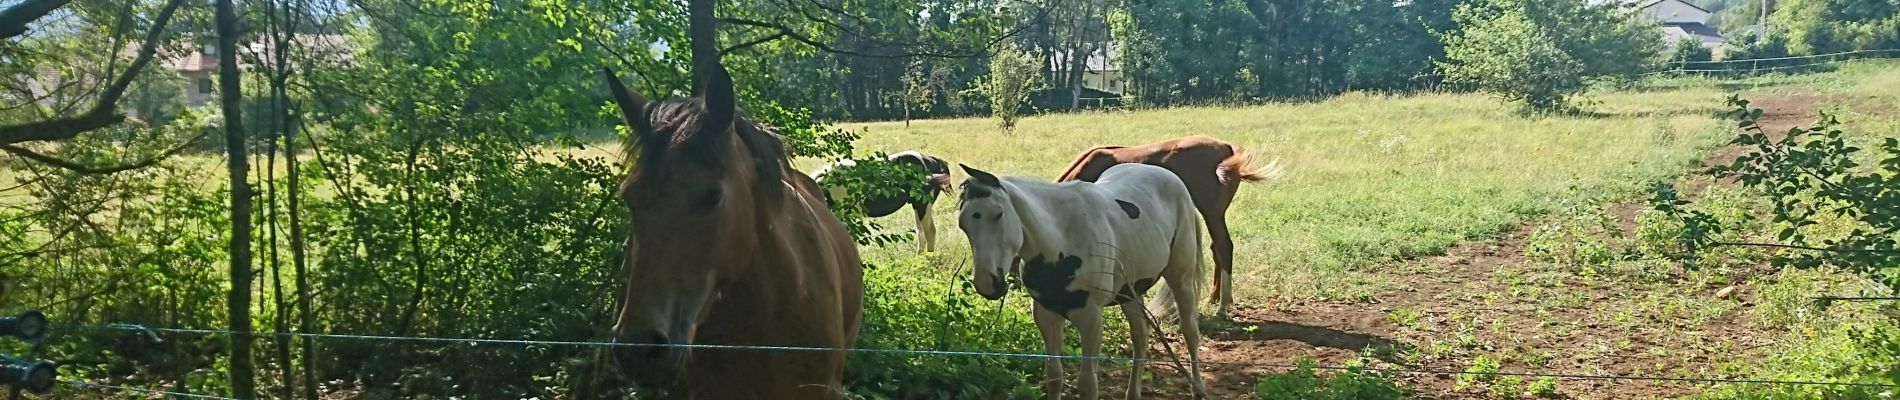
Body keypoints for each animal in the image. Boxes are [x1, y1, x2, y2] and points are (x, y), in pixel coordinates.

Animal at [957, 163, 1208, 400]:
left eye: (998, 214)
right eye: (963, 224)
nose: (987, 284)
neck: (1061, 241)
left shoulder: (1091, 319)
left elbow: (1087, 385)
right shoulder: (1046, 315)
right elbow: (1054, 377)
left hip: (1181, 279)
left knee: (1190, 331)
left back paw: (1198, 388)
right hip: (1130, 292)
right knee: (1140, 336)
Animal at [1056, 134, 1276, 318]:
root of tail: (1227, 149)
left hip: (1212, 212)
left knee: (1223, 247)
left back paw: (1223, 306)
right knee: (1216, 248)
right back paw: (1213, 298)